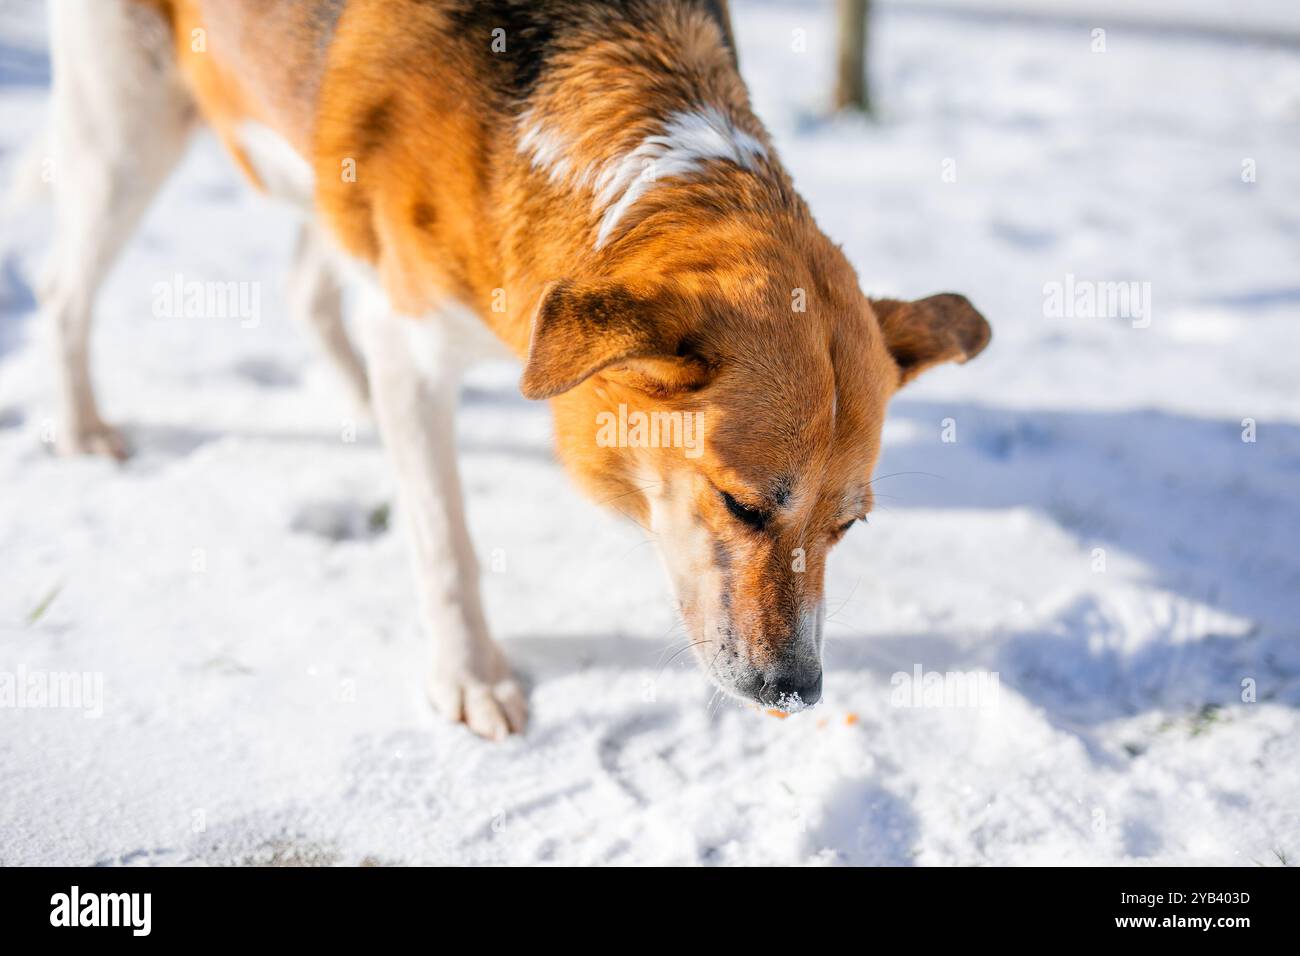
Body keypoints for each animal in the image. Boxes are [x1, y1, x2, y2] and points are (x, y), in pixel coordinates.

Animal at [35, 0, 987, 738]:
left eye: (848, 527)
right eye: (742, 505)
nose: (796, 691)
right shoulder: (413, 340)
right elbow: (444, 543)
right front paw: (472, 678)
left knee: (308, 288)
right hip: (125, 130)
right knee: (64, 288)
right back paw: (80, 426)